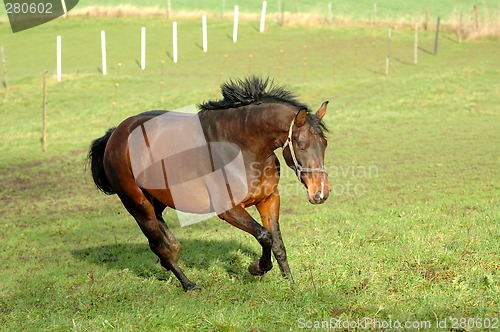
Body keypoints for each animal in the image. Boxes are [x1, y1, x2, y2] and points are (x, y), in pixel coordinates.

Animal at [88, 76, 330, 290]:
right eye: (301, 145)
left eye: (324, 143)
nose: (321, 193)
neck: (244, 148)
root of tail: (114, 135)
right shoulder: (229, 210)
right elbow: (264, 235)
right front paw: (256, 268)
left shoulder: (268, 199)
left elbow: (278, 243)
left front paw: (291, 285)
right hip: (137, 204)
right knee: (157, 243)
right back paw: (188, 284)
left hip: (159, 196)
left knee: (162, 234)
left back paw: (172, 256)